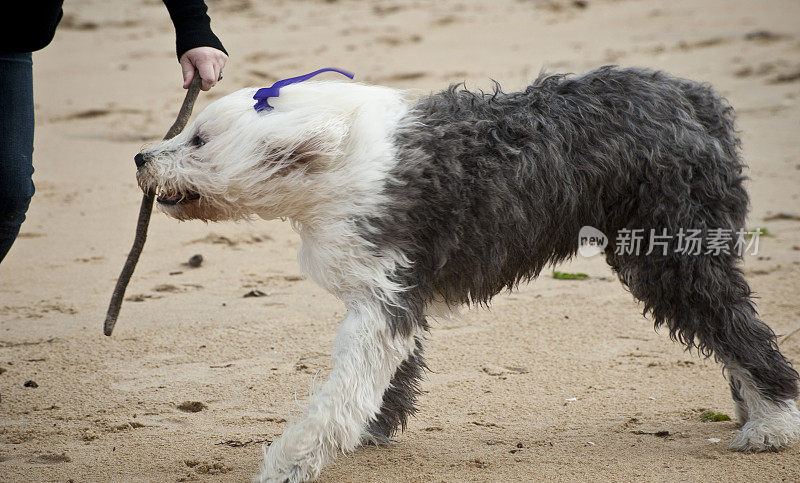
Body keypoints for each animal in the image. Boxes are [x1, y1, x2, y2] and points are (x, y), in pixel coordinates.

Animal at [136, 66, 800, 482]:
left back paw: (771, 425)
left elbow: (343, 392)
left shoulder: (384, 299)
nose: (141, 157)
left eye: (198, 139)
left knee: (742, 333)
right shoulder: (396, 295)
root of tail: (697, 101)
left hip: (672, 256)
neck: (338, 159)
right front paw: (373, 431)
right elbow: (385, 379)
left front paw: (288, 463)